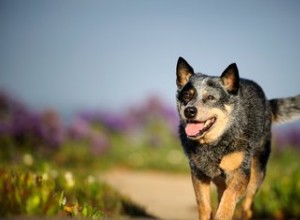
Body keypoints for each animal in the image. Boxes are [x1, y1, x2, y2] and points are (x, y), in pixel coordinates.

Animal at [176, 57, 300, 220]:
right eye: (186, 96)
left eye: (210, 97)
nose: (189, 111)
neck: (215, 142)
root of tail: (267, 103)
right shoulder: (198, 173)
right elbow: (204, 206)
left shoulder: (240, 172)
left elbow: (229, 197)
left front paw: (223, 214)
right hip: (219, 178)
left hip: (257, 173)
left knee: (247, 207)